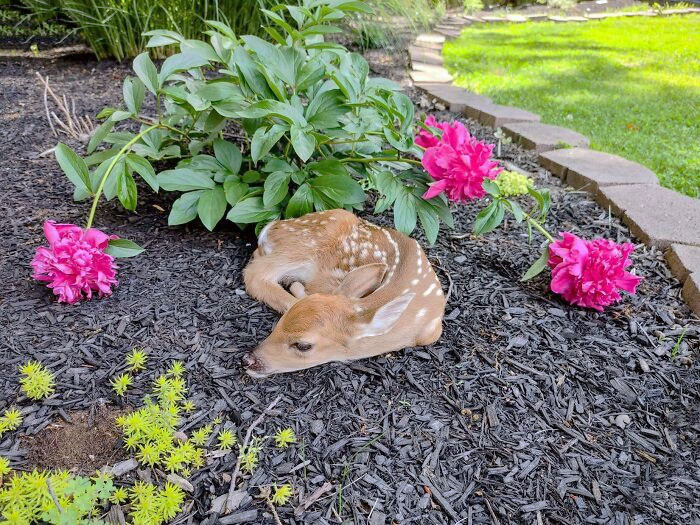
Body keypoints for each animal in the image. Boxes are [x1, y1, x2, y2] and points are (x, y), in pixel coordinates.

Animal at [241, 209, 446, 377]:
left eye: (303, 346)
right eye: (279, 321)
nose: (248, 360)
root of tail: (272, 226)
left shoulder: (432, 332)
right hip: (305, 244)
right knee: (255, 273)